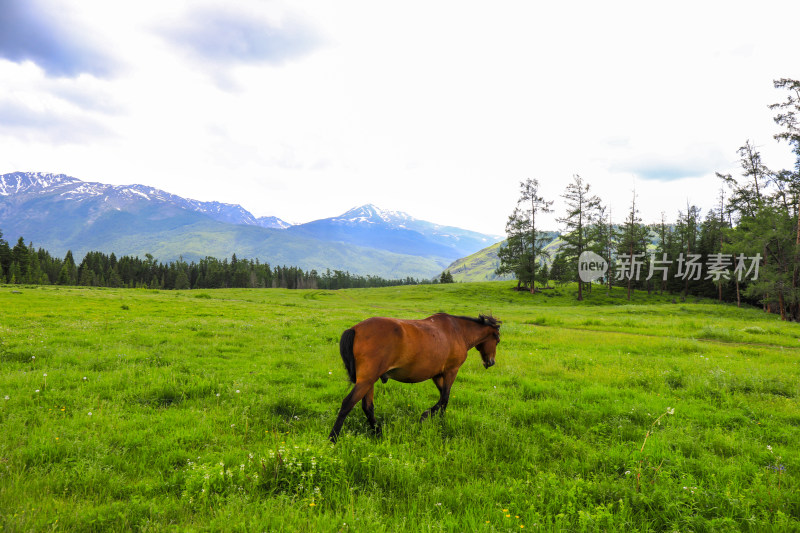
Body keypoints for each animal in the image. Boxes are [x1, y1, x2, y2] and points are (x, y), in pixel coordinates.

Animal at [326, 312, 500, 440]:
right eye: (497, 340)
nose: (491, 362)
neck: (458, 331)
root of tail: (355, 329)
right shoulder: (451, 371)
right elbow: (444, 398)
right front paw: (426, 417)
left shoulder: (437, 375)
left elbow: (444, 398)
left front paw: (440, 420)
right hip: (366, 381)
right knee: (347, 404)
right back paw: (332, 438)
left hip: (369, 381)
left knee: (367, 407)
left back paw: (378, 433)